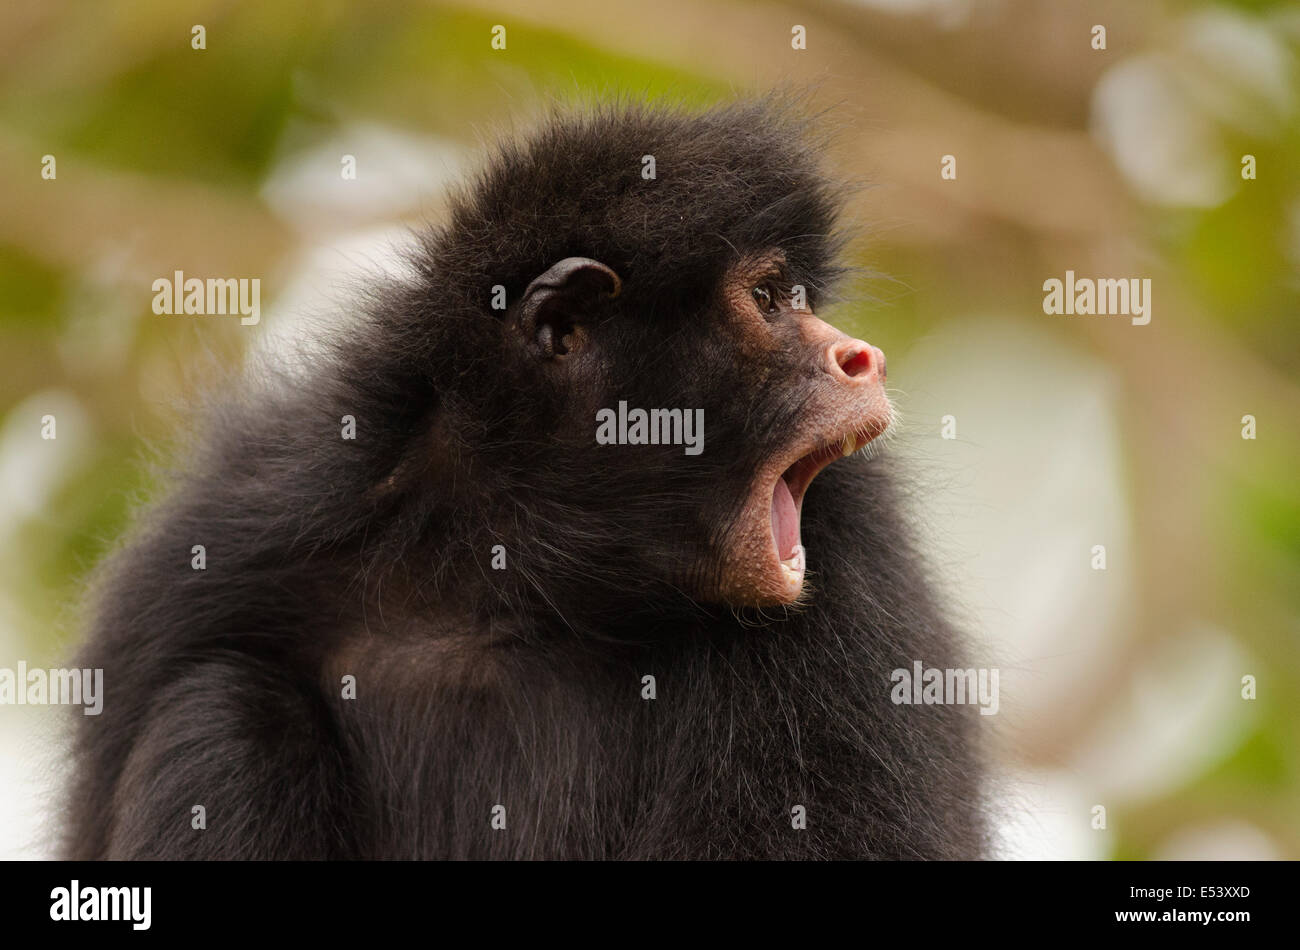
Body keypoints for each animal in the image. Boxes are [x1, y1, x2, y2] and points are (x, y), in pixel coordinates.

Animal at [64, 98, 987, 860]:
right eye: (766, 299)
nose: (858, 358)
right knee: (222, 718)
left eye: (798, 297)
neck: (515, 578)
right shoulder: (225, 536)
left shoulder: (852, 550)